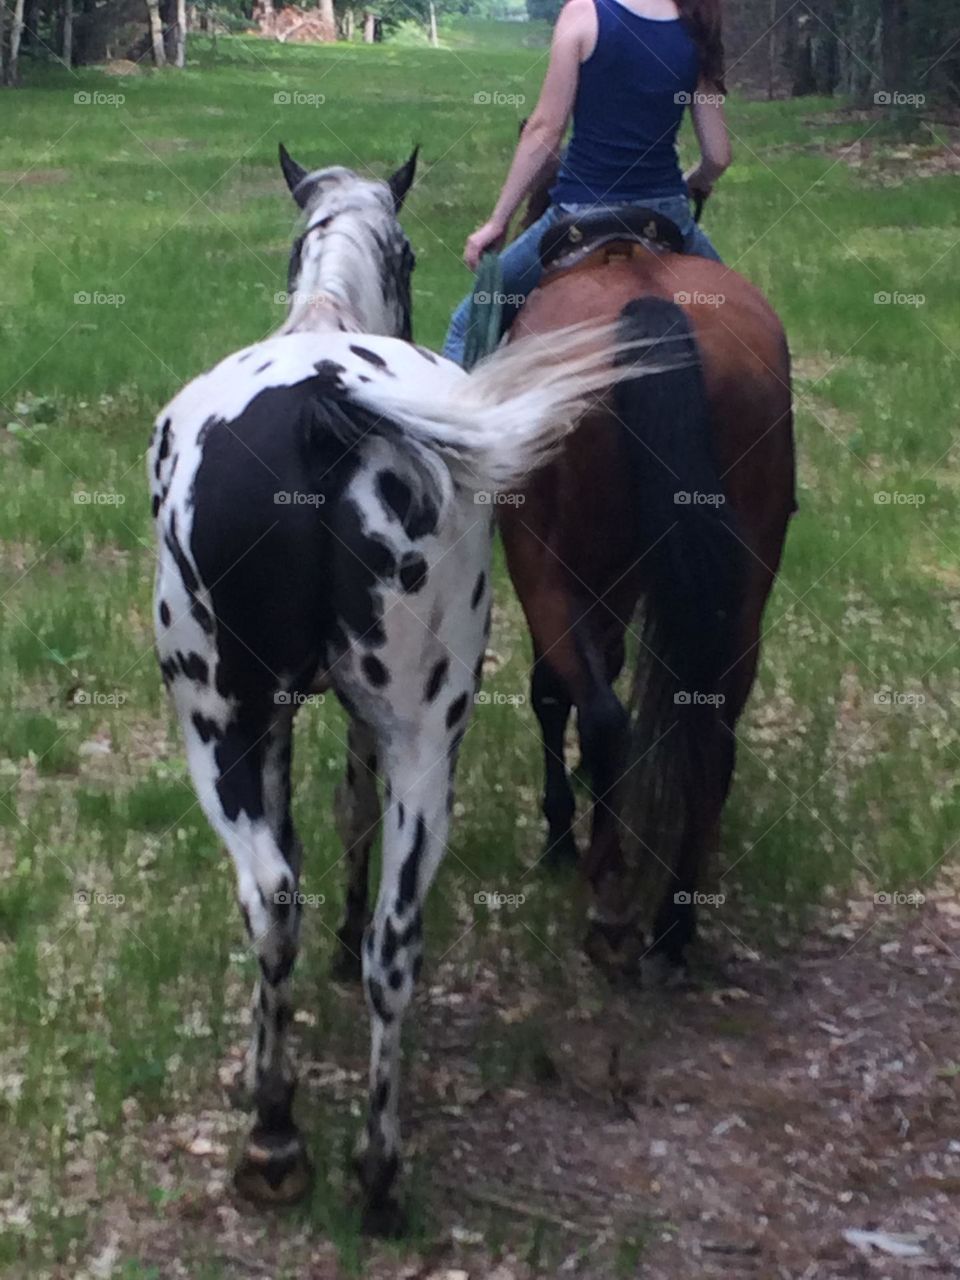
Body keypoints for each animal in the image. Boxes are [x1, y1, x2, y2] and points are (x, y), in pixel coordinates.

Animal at [148, 143, 652, 1227]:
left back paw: (291, 1134)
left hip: (230, 730)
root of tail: (319, 411)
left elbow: (328, 826)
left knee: (282, 899)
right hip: (404, 738)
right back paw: (348, 1154)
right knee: (374, 929)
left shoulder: (294, 723)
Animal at [499, 175, 797, 973]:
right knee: (715, 730)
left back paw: (609, 904)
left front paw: (559, 834)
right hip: (743, 589)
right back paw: (673, 925)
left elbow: (556, 692)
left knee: (604, 715)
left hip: (546, 564)